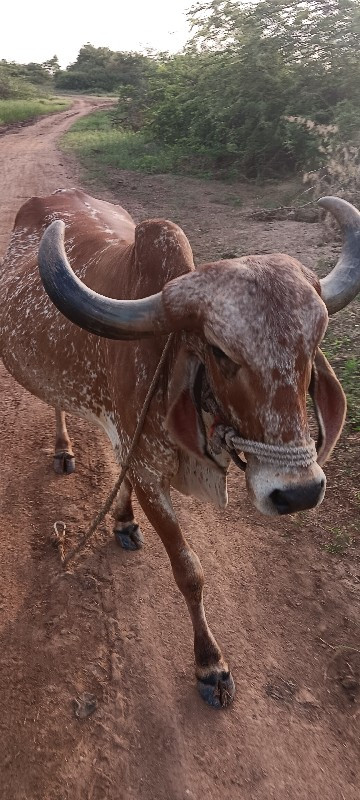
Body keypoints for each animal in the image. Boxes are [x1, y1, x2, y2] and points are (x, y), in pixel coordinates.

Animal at [0, 189, 360, 708]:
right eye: (221, 352)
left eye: (313, 346)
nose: (298, 493)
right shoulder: (151, 474)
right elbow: (189, 570)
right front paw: (210, 664)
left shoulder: (132, 445)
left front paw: (123, 521)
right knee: (56, 402)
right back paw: (63, 448)